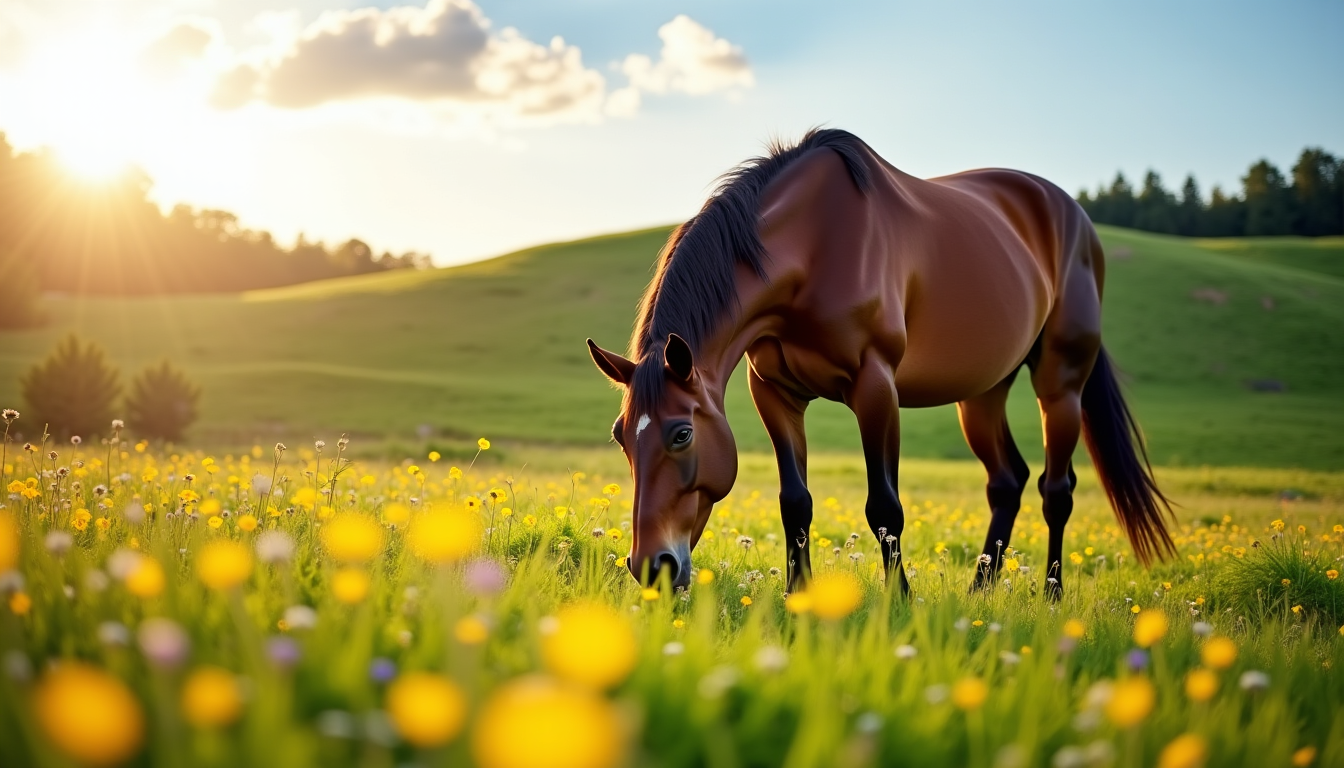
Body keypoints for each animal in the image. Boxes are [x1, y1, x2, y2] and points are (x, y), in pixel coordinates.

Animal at [587, 128, 1174, 598]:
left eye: (682, 434)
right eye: (621, 437)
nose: (651, 567)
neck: (814, 246)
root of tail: (1074, 216)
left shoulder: (875, 388)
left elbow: (884, 508)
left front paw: (901, 602)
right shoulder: (773, 392)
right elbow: (795, 503)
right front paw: (799, 597)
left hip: (1061, 384)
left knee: (1057, 490)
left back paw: (1051, 596)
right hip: (981, 393)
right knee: (1007, 481)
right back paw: (980, 592)